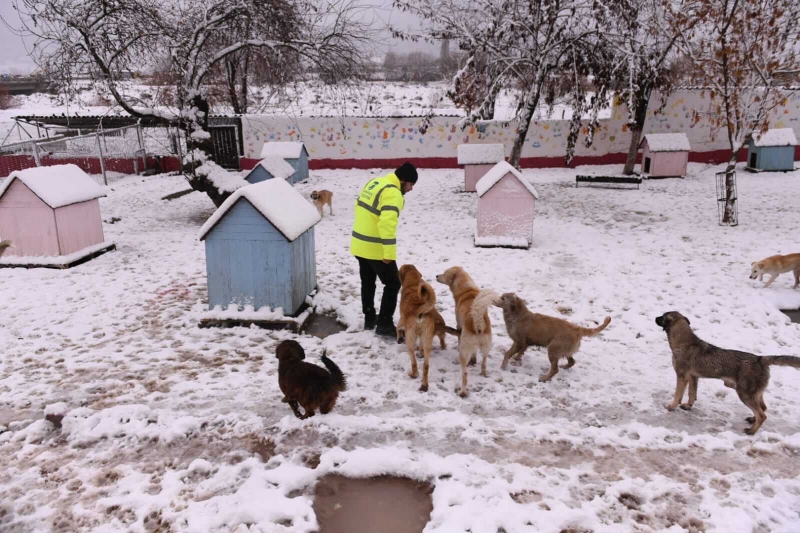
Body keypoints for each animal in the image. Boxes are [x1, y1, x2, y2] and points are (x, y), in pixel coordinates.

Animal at [434, 266, 496, 394]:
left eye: (444, 274)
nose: (436, 275)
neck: (466, 290)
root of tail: (477, 321)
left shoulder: (459, 326)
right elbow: (474, 354)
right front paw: (473, 360)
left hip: (464, 351)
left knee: (465, 374)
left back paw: (462, 392)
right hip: (486, 347)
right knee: (484, 363)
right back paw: (483, 373)